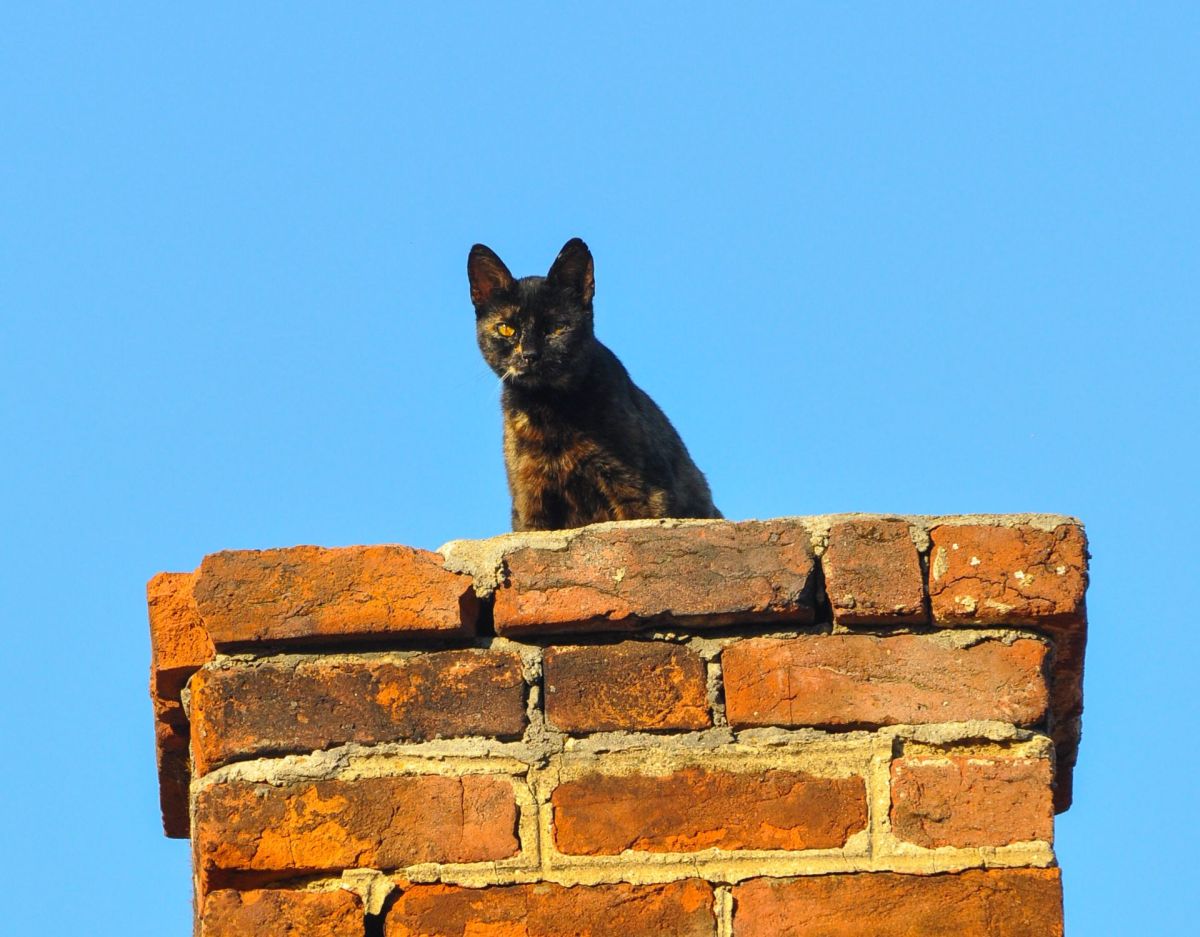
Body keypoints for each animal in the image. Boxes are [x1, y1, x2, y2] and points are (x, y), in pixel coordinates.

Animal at [463, 237, 715, 530]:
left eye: (556, 328)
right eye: (506, 329)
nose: (530, 355)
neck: (549, 412)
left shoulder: (640, 490)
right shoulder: (529, 499)